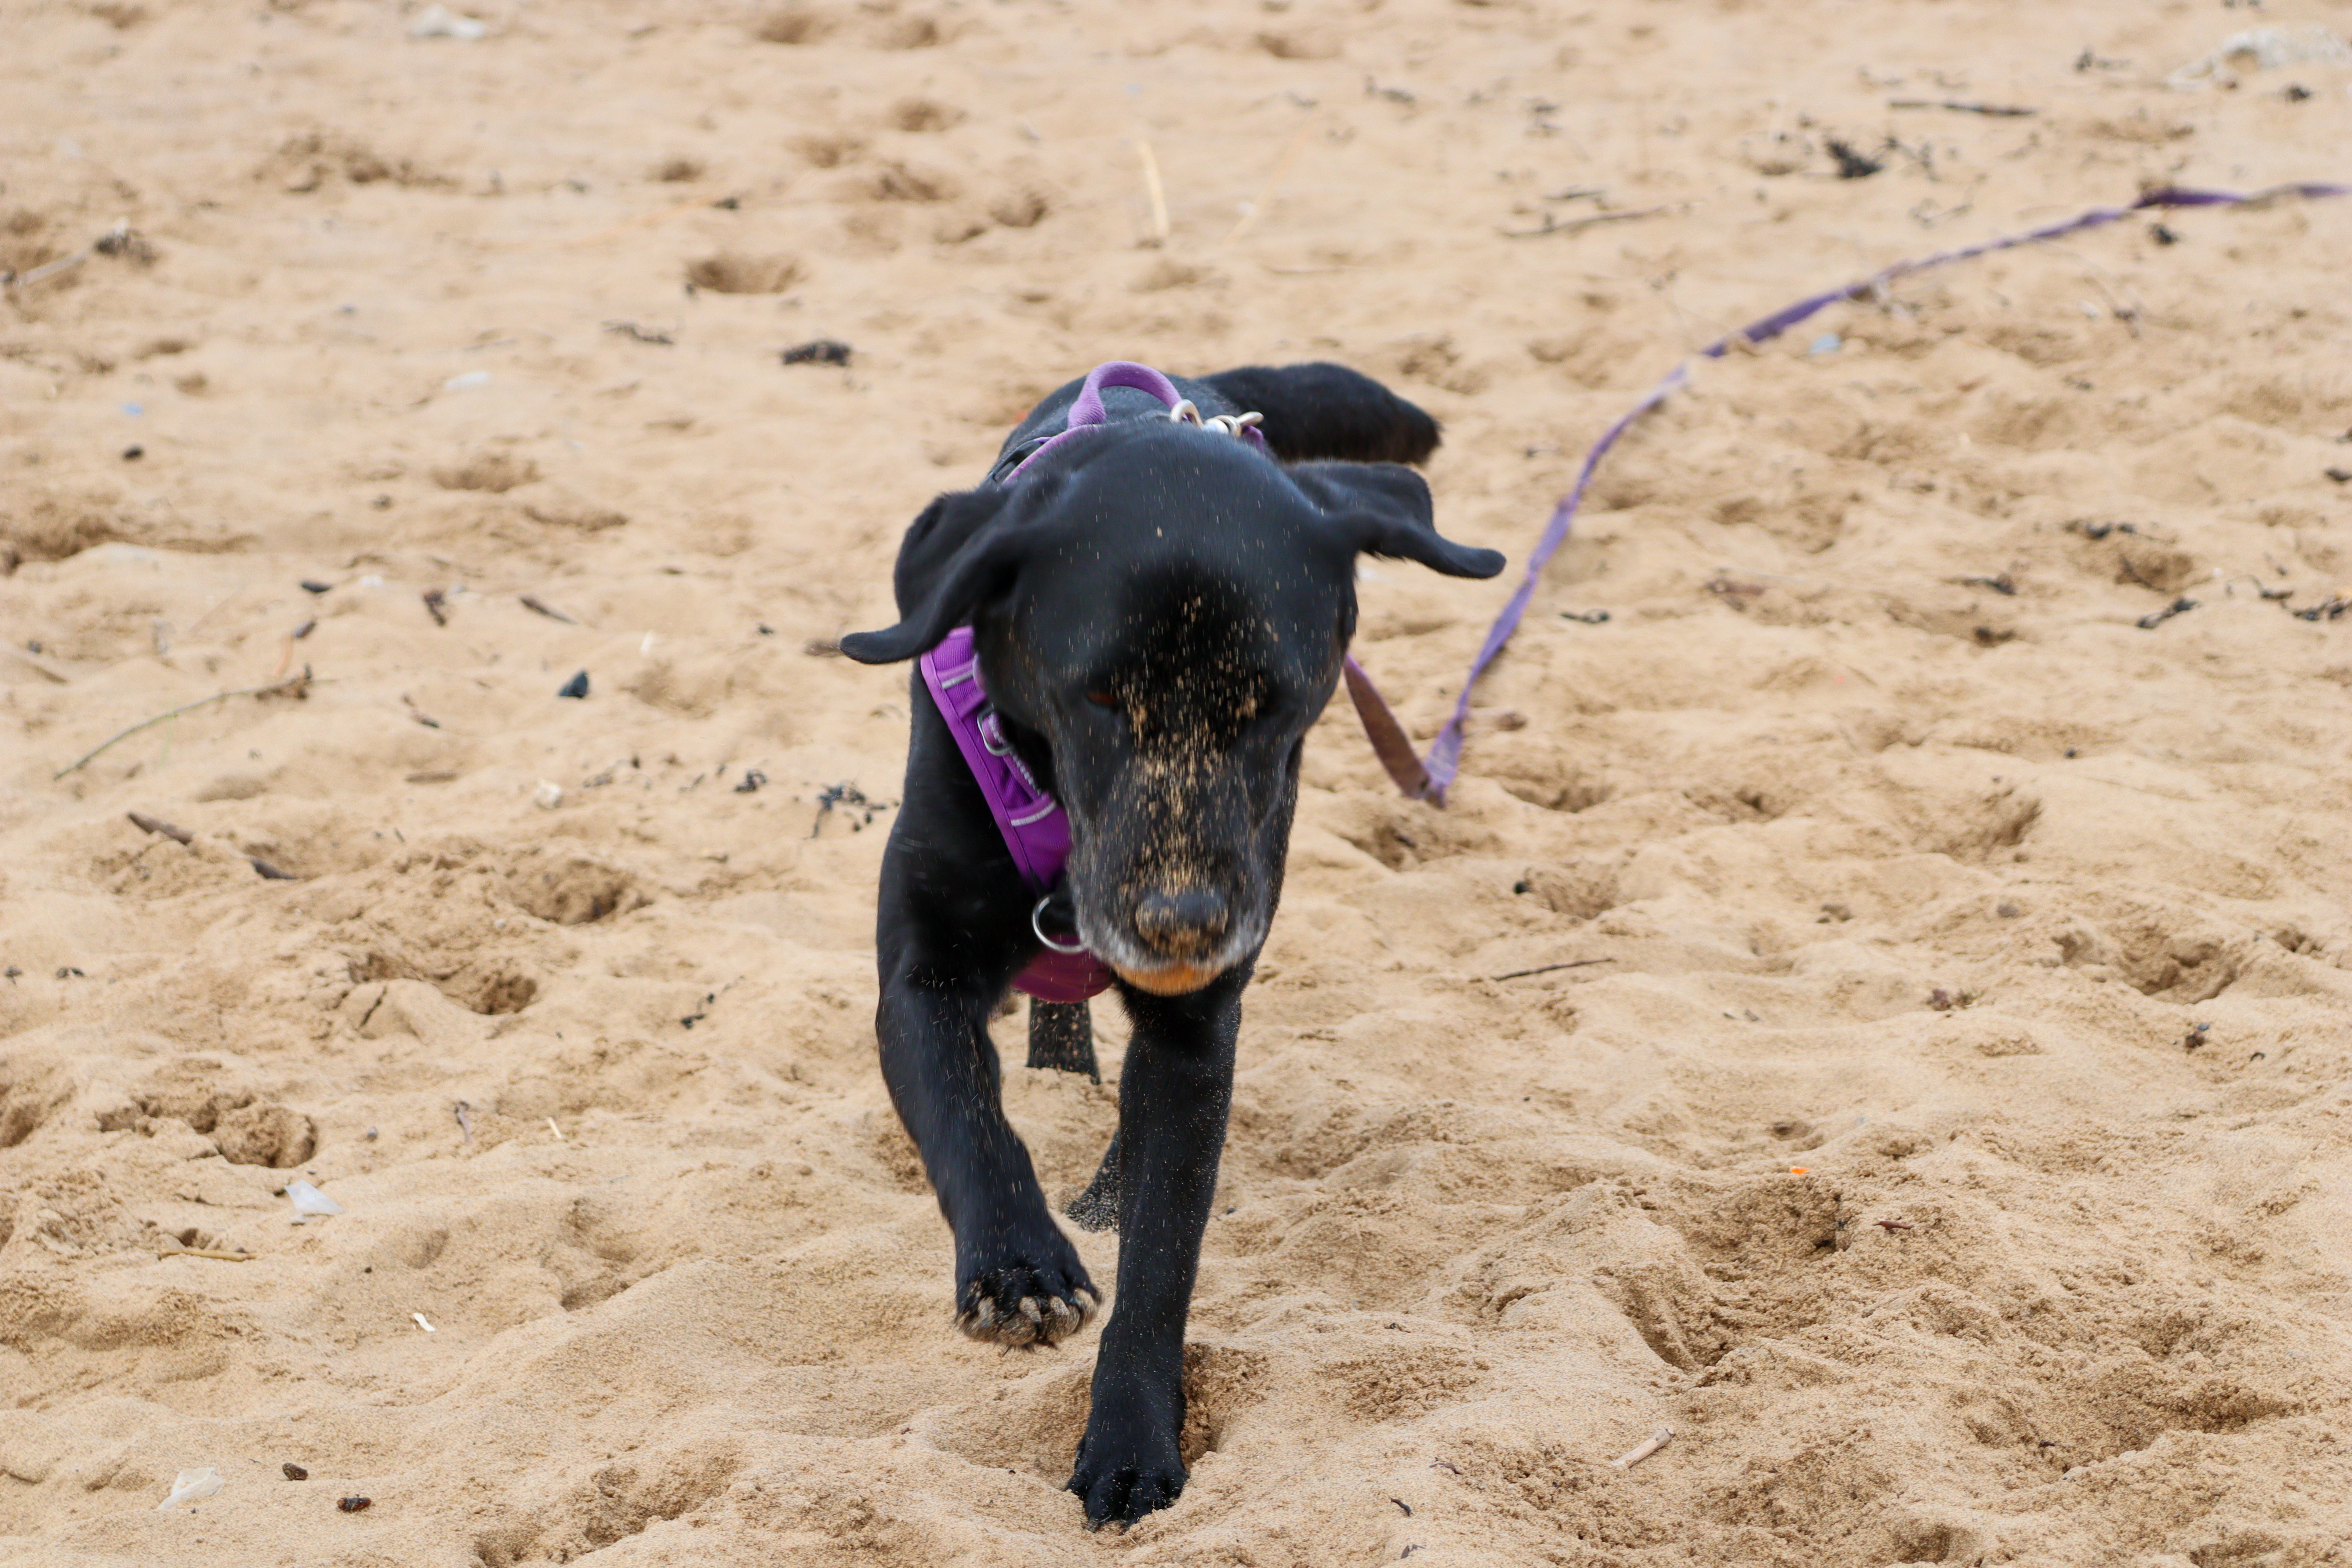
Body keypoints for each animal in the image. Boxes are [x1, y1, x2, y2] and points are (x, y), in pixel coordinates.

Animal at [842, 362, 1505, 1523]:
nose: (1182, 926)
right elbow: (971, 1121)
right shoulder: (922, 976)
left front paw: (1130, 1435)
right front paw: (1019, 1265)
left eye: (1275, 700)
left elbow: (1163, 1252)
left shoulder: (1197, 1031)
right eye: (1099, 692)